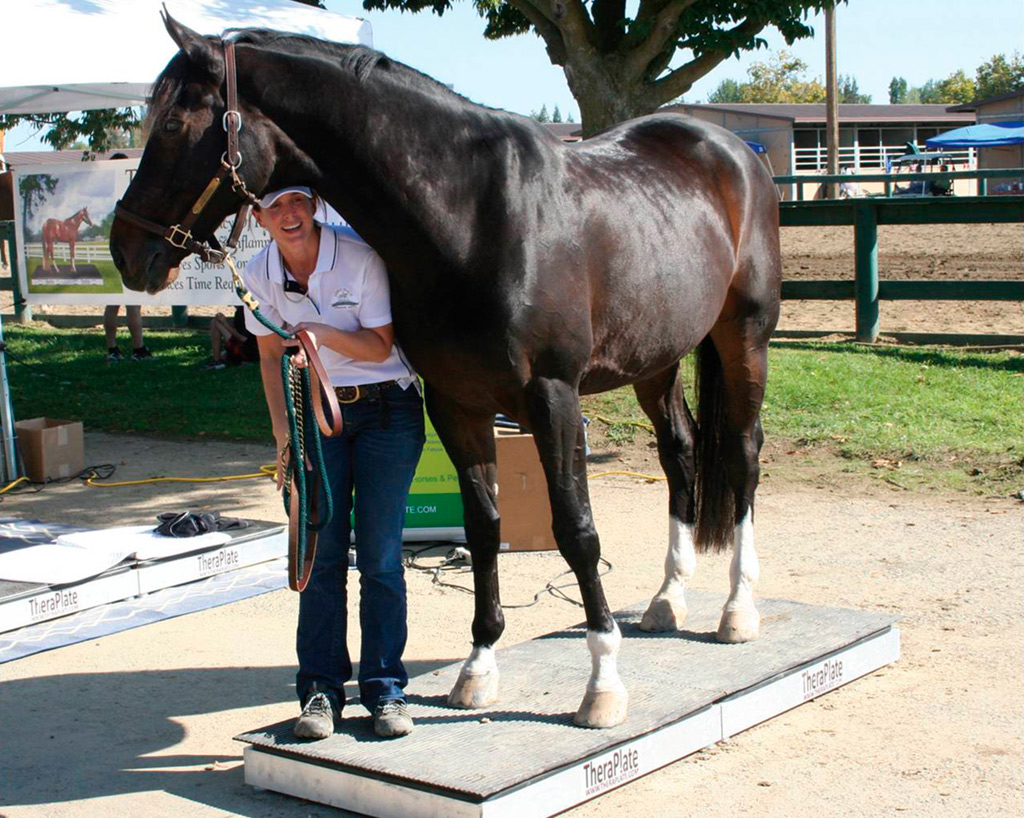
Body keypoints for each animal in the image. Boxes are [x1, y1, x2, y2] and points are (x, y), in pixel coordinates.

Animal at [110, 13, 781, 729]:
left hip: (743, 337)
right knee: (680, 452)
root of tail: (730, 148)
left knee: (742, 452)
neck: (472, 219)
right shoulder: (457, 404)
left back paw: (738, 609)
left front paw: (603, 685)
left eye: (173, 124)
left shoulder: (553, 398)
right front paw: (478, 669)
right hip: (656, 355)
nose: (126, 249)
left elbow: (576, 531)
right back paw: (668, 599)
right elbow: (483, 526)